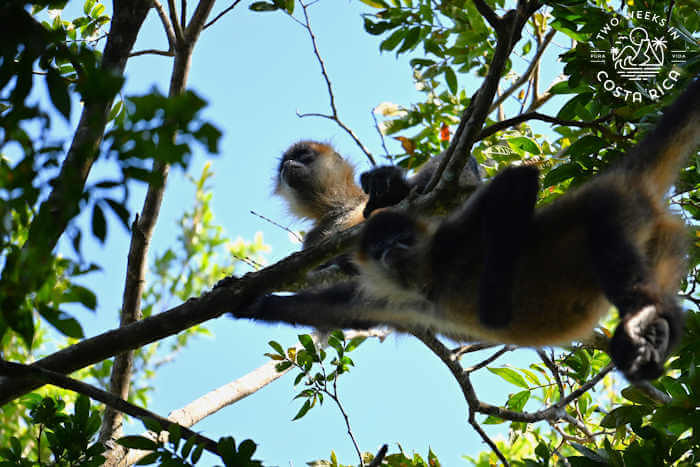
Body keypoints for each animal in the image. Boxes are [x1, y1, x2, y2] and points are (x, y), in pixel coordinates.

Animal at [242, 79, 700, 382]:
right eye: (286, 163)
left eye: (302, 156)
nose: (288, 166)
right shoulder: (326, 245)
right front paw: (252, 301)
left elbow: (469, 183)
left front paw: (390, 185)